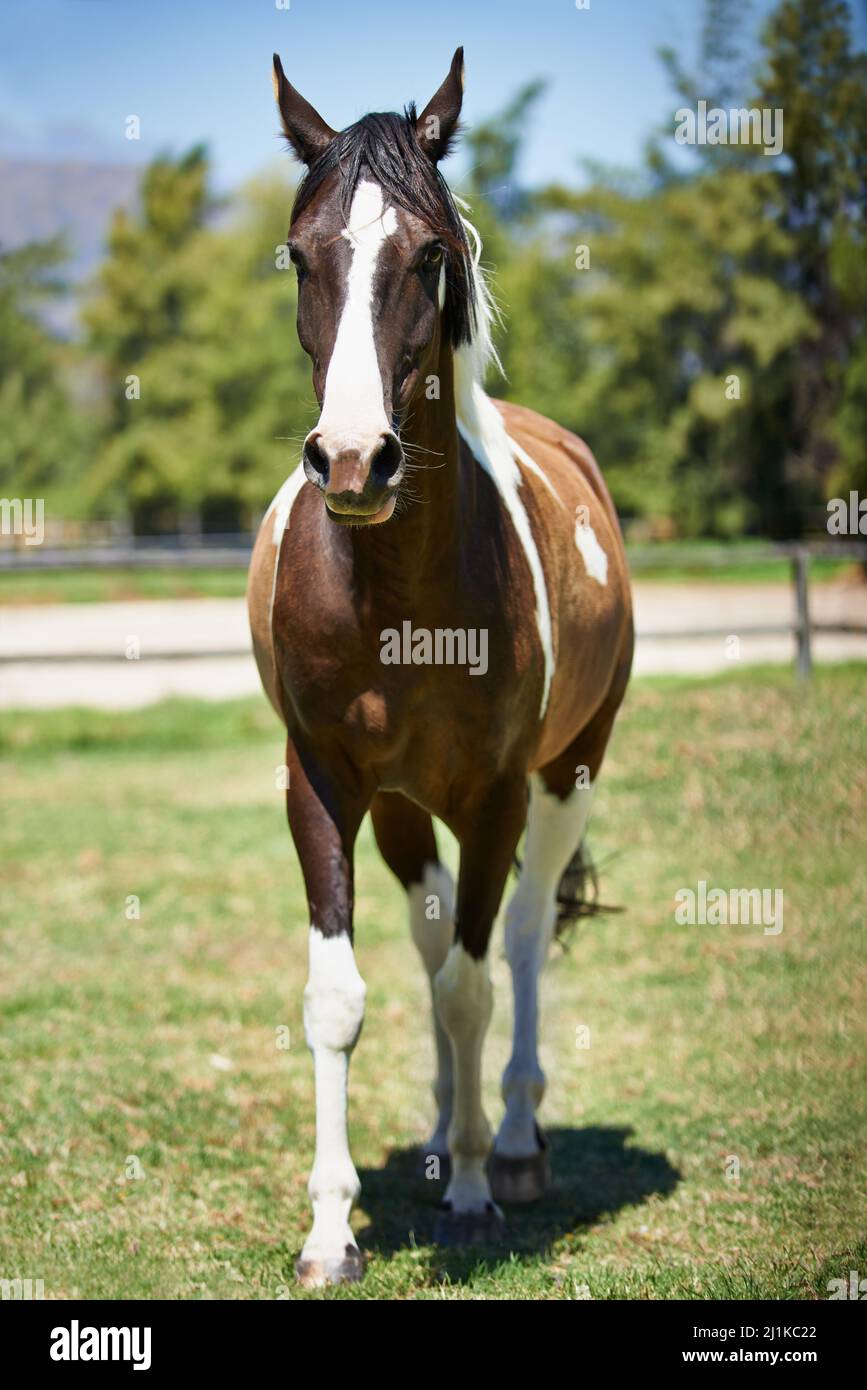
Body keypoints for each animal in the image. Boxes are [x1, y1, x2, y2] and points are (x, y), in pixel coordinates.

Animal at [247, 48, 633, 1284]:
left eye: (429, 254)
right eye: (301, 252)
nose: (352, 459)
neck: (401, 595)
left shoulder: (500, 793)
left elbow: (473, 987)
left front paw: (469, 1195)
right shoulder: (323, 783)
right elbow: (340, 995)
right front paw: (331, 1230)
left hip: (567, 776)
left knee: (514, 945)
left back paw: (505, 1140)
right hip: (406, 806)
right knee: (425, 944)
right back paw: (437, 1121)